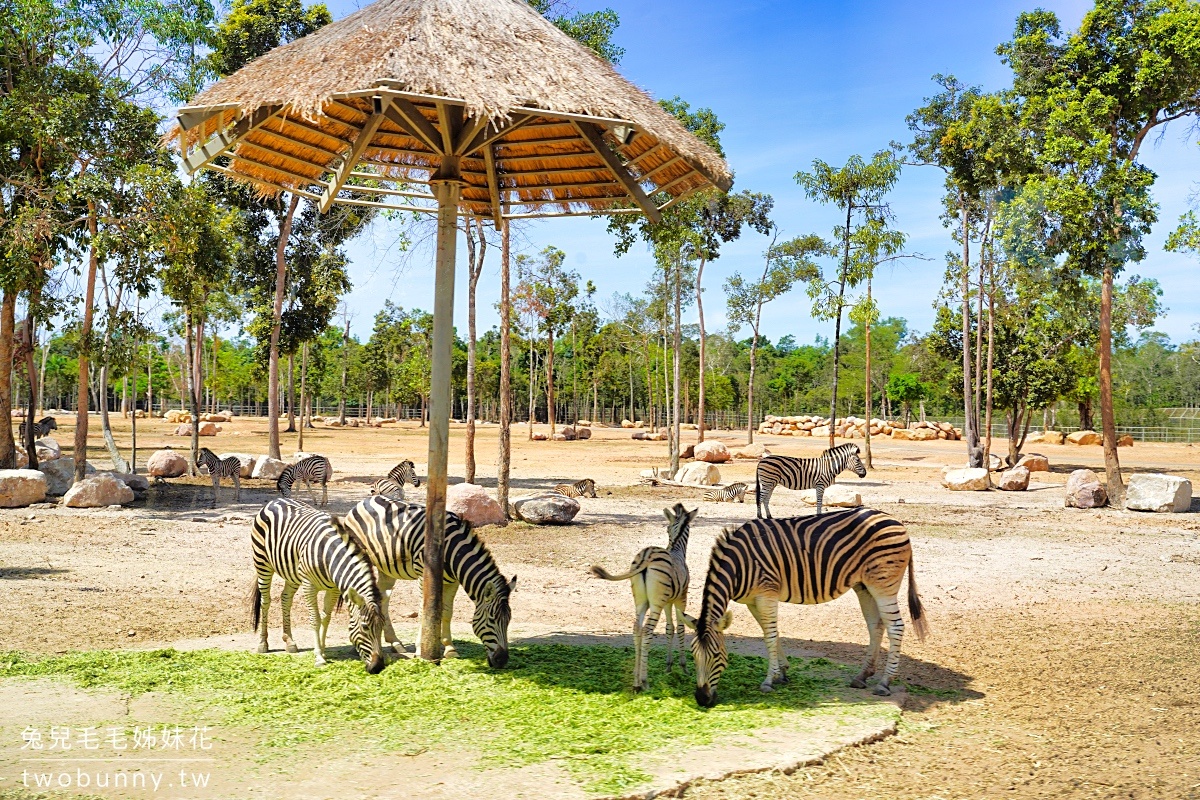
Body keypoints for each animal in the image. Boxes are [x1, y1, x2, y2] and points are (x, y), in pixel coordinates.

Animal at [248, 501, 384, 676]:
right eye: (365, 627)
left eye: (382, 626)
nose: (378, 667)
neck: (329, 557)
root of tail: (275, 501)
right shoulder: (309, 586)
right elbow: (315, 620)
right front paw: (319, 657)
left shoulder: (333, 589)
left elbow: (326, 619)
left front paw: (323, 650)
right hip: (262, 563)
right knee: (265, 601)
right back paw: (263, 643)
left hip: (292, 573)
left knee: (286, 599)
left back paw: (289, 641)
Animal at [333, 496, 516, 666]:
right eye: (492, 620)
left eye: (509, 620)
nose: (502, 660)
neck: (453, 550)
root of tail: (367, 499)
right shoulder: (423, 573)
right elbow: (424, 610)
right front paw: (421, 649)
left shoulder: (453, 581)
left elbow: (447, 612)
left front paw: (450, 648)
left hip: (387, 569)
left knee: (383, 598)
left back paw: (395, 643)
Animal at [588, 503, 696, 690]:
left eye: (666, 528)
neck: (676, 549)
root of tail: (647, 556)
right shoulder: (681, 598)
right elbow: (681, 628)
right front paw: (683, 667)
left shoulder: (668, 601)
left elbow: (670, 629)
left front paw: (669, 666)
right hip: (655, 604)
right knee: (646, 631)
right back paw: (644, 681)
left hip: (641, 602)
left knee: (636, 629)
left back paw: (636, 681)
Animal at [686, 506, 926, 705]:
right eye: (693, 655)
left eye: (717, 656)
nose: (701, 699)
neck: (739, 565)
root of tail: (896, 521)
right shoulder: (752, 601)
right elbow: (769, 632)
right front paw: (782, 672)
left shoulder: (766, 595)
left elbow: (770, 636)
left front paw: (768, 680)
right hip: (864, 586)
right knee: (876, 626)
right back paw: (862, 676)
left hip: (883, 584)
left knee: (896, 627)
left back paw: (885, 682)